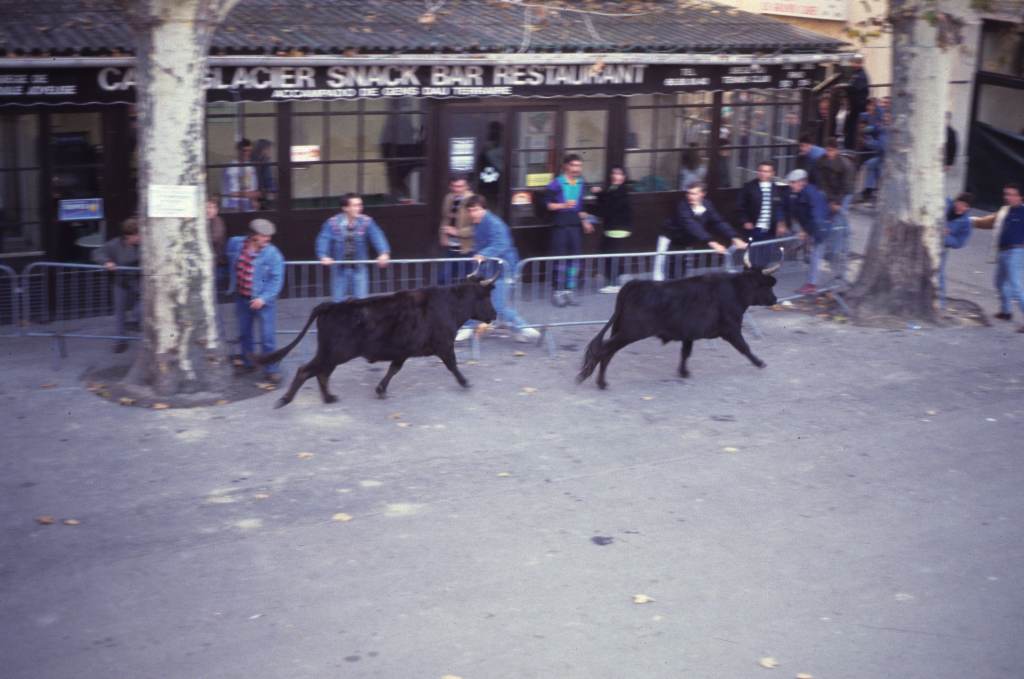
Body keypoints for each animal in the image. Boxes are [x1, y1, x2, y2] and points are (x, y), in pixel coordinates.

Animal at [254, 278, 495, 405]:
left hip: (330, 354)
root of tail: (330, 305)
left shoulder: (403, 351)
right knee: (306, 370)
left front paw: (380, 389)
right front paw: (465, 382)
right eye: (486, 298)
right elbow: (453, 365)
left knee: (321, 373)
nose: (494, 314)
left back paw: (329, 397)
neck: (451, 304)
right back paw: (286, 399)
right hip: (334, 353)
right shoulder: (444, 345)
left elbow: (393, 369)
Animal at [577, 268, 774, 391]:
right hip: (629, 332)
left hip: (620, 331)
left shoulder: (689, 334)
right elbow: (745, 347)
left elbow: (685, 353)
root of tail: (636, 284)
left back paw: (601, 382)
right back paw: (598, 381)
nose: (774, 299)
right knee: (604, 351)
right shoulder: (731, 329)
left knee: (607, 352)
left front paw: (683, 372)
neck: (736, 289)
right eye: (766, 286)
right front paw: (760, 363)